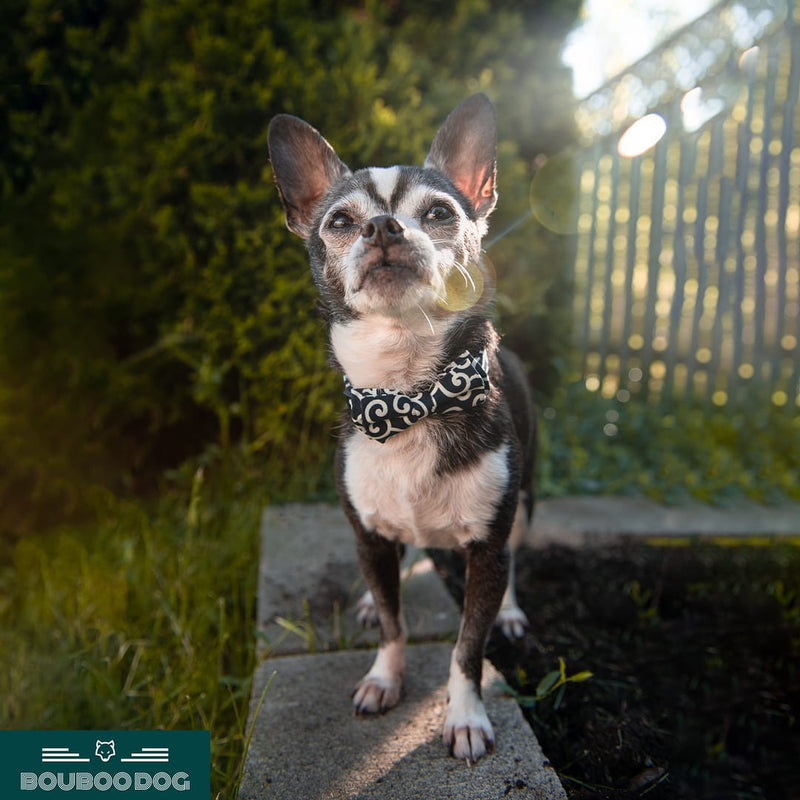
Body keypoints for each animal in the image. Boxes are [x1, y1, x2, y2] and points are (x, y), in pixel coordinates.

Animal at [268, 94, 536, 764]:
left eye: (439, 213)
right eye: (341, 221)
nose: (384, 227)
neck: (410, 394)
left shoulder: (486, 550)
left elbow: (468, 647)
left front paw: (464, 716)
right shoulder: (367, 532)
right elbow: (394, 623)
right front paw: (384, 678)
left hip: (526, 500)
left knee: (517, 555)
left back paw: (512, 611)